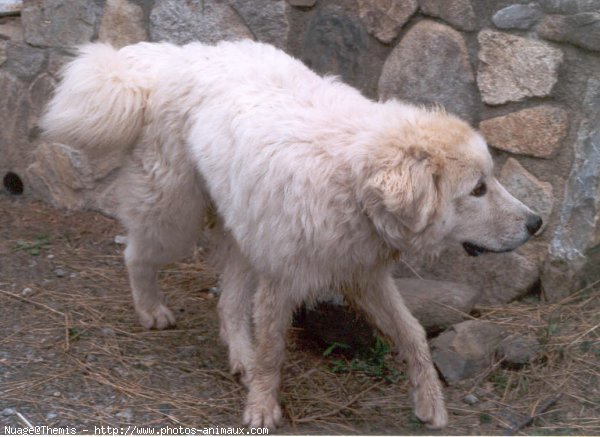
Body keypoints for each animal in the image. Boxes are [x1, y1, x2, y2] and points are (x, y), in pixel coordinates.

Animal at [39, 39, 540, 428]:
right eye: (478, 189)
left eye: (490, 180)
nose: (536, 224)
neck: (353, 181)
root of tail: (176, 58)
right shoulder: (282, 280)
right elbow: (272, 353)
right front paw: (262, 408)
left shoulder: (364, 276)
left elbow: (414, 334)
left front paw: (429, 402)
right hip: (175, 216)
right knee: (136, 254)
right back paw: (151, 310)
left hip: (242, 230)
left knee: (229, 303)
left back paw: (237, 355)